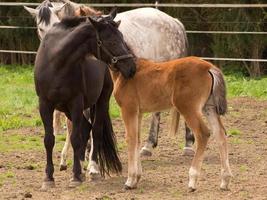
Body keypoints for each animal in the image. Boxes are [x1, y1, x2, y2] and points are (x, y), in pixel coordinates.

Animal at [112, 57, 233, 191]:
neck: (123, 72)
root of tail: (209, 67)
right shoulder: (138, 113)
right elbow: (137, 139)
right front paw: (136, 179)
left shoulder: (128, 109)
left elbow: (130, 139)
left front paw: (130, 180)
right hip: (209, 107)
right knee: (220, 134)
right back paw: (225, 181)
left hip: (188, 107)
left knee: (203, 134)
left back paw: (192, 180)